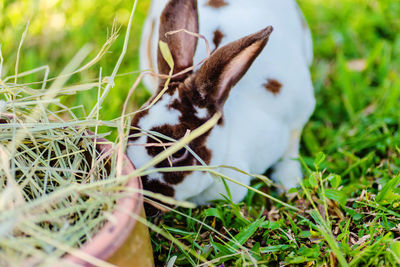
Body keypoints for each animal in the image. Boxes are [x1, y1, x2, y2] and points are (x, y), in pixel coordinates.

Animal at [126, 0, 314, 208]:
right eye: (130, 127)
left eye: (179, 153)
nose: (142, 196)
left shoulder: (299, 111)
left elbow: (292, 146)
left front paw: (289, 184)